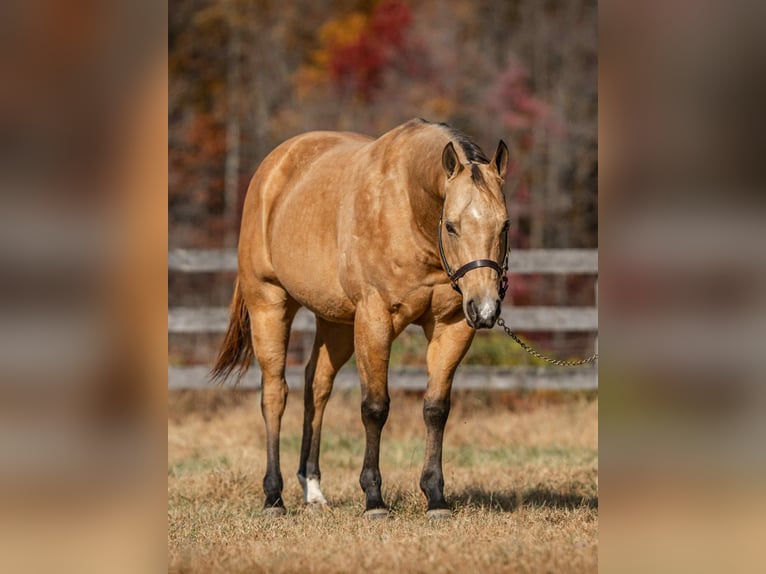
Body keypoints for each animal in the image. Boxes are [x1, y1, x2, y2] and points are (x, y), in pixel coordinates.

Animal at [212, 118, 510, 518]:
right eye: (451, 225)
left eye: (505, 225)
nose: (486, 309)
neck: (408, 210)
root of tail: (272, 167)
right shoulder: (375, 319)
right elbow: (375, 407)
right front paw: (374, 498)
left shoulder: (452, 325)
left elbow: (436, 408)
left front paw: (435, 497)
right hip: (269, 304)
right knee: (275, 394)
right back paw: (273, 497)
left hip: (336, 323)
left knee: (316, 388)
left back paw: (313, 491)